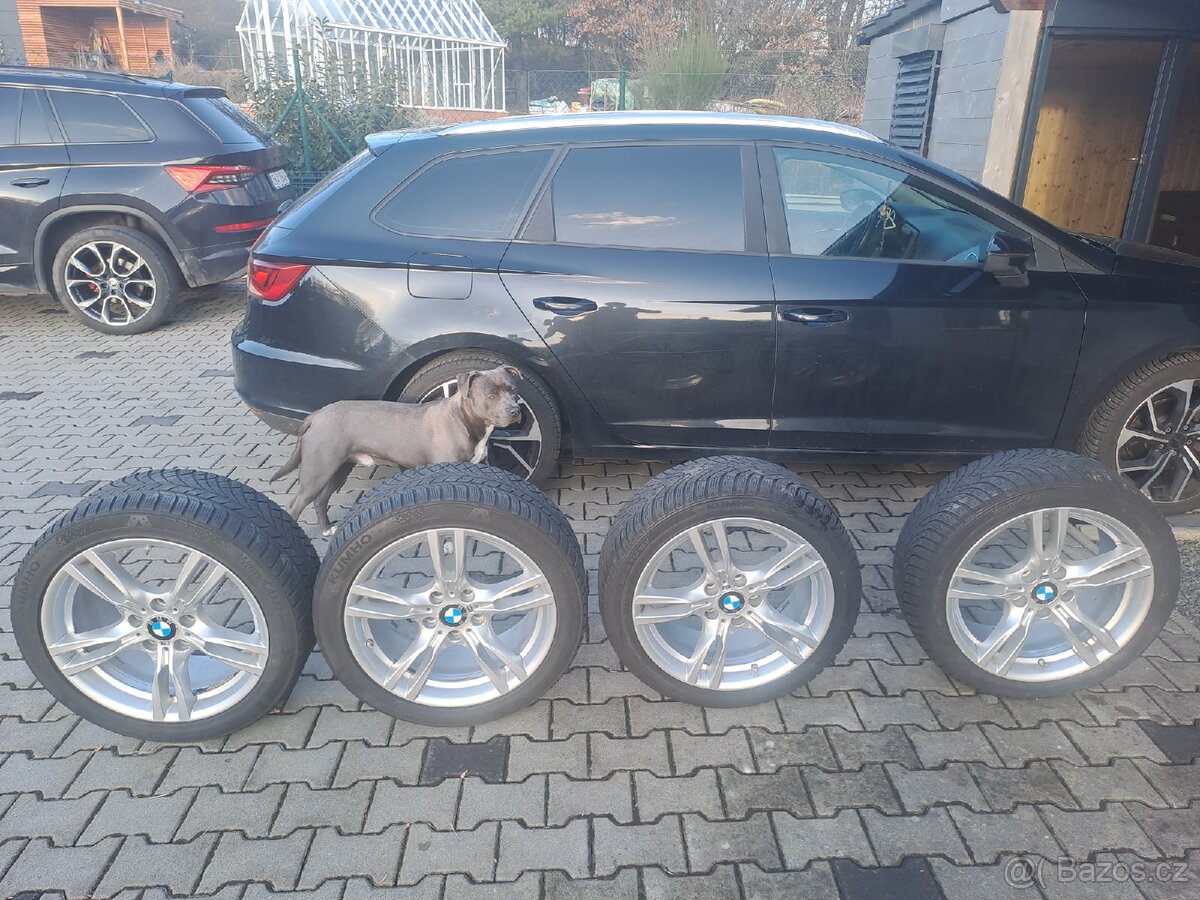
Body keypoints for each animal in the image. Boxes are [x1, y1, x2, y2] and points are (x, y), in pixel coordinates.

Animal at [271, 366, 523, 535]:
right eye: (491, 395)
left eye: (513, 390)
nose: (515, 410)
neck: (464, 419)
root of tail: (315, 416)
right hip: (318, 470)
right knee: (296, 505)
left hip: (337, 469)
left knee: (320, 500)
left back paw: (326, 530)